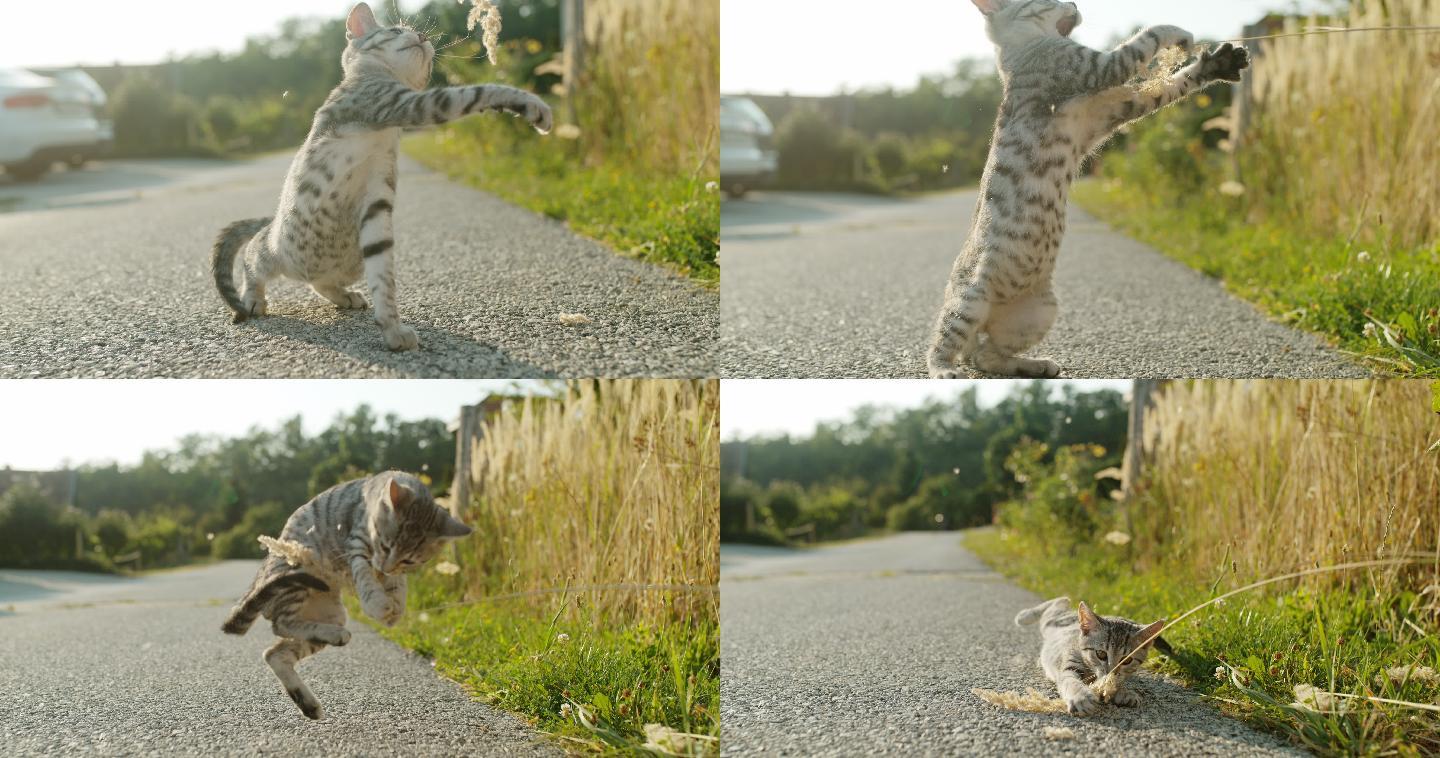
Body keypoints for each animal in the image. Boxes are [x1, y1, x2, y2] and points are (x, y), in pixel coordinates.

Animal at [210, 2, 552, 353]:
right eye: (396, 30)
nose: (423, 36)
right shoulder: (400, 102)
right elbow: (474, 93)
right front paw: (531, 104)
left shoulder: (377, 201)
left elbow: (383, 276)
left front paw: (391, 327)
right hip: (272, 252)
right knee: (252, 257)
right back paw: (253, 297)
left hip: (349, 263)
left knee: (318, 282)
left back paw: (343, 295)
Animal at [218, 472, 469, 723]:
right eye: (385, 546)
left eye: (408, 559)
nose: (384, 566)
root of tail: (261, 574)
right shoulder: (356, 543)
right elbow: (365, 575)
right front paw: (378, 605)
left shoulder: (393, 569)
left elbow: (398, 584)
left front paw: (395, 605)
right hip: (299, 576)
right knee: (281, 624)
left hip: (331, 613)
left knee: (275, 653)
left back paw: (308, 700)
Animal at [921, 0, 1249, 380]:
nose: (1076, 4)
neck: (1019, 50)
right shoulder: (1098, 68)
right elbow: (1147, 37)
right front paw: (1180, 33)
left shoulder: (1117, 107)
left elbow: (1173, 85)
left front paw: (1219, 63)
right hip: (969, 304)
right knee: (948, 345)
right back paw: (945, 370)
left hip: (1040, 312)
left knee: (987, 356)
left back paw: (1037, 365)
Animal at [1013, 599, 1169, 720]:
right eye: (1101, 654)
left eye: (1126, 660)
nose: (1110, 672)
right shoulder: (1068, 666)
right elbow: (1070, 680)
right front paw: (1080, 695)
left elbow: (1116, 683)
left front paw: (1123, 692)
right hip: (1051, 621)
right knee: (1058, 602)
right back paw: (1024, 615)